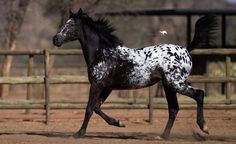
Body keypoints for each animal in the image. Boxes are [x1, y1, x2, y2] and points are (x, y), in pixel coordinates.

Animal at [52, 8, 218, 139]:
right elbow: (97, 108)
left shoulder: (96, 85)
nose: (55, 39)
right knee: (174, 109)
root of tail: (185, 50)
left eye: (71, 24)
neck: (103, 54)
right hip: (168, 86)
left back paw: (204, 127)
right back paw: (163, 136)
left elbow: (89, 109)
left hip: (176, 84)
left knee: (199, 94)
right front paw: (119, 123)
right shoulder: (107, 87)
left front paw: (79, 133)